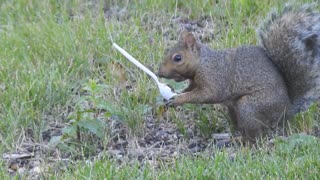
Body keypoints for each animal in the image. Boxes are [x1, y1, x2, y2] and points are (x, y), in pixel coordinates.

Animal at [158, 3, 320, 143]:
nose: (159, 72)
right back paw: (229, 135)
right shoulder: (195, 81)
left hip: (249, 107)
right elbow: (190, 88)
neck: (203, 62)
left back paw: (239, 140)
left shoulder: (214, 78)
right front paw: (174, 94)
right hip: (234, 109)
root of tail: (286, 110)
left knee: (255, 137)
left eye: (177, 58)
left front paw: (179, 99)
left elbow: (206, 94)